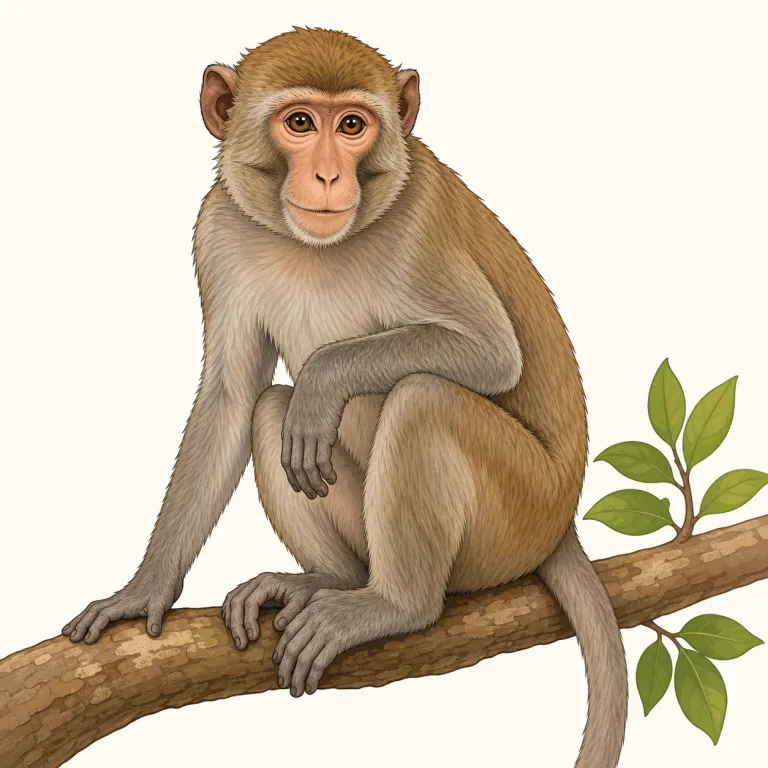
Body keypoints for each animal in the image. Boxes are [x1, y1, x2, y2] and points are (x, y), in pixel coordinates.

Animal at [61, 28, 628, 768]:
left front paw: (326, 380)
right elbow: (230, 399)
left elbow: (491, 354)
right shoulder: (217, 230)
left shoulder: (418, 225)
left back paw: (392, 604)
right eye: (301, 123)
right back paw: (327, 580)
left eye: (352, 126)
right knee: (272, 410)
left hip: (517, 516)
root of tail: (560, 528)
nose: (329, 176)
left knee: (423, 400)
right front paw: (143, 590)